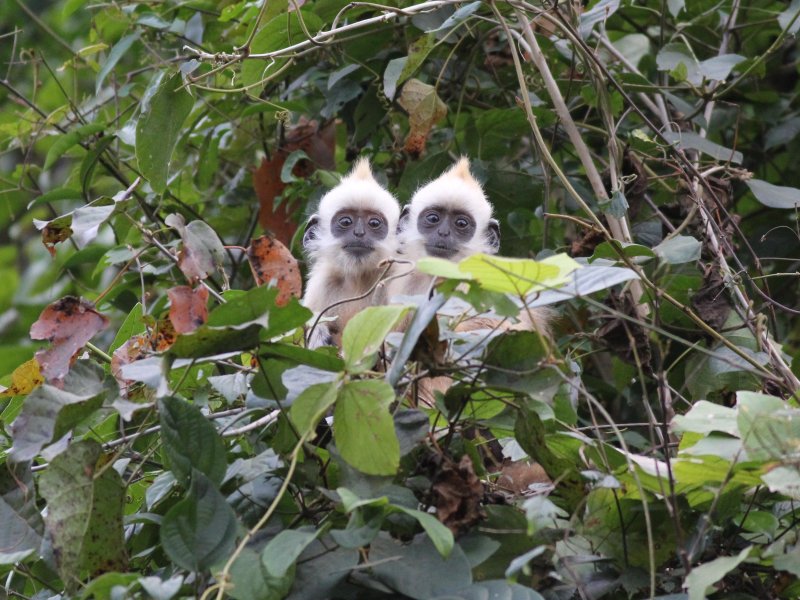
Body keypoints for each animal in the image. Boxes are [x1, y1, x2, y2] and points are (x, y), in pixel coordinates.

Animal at [302, 157, 400, 350]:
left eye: (374, 223)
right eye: (346, 221)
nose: (359, 233)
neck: (359, 280)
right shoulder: (321, 284)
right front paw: (318, 334)